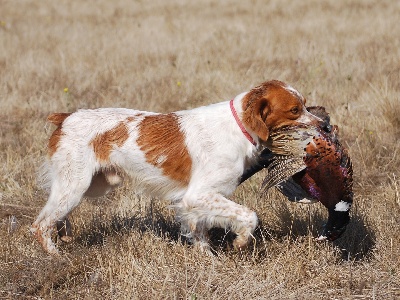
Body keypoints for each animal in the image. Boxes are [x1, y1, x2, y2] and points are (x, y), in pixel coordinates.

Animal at [30, 79, 322, 253]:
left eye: (306, 106)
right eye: (295, 110)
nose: (325, 126)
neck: (239, 126)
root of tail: (66, 117)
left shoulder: (194, 200)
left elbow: (200, 232)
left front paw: (208, 260)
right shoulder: (199, 194)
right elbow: (249, 215)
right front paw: (240, 241)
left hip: (89, 185)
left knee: (57, 219)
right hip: (74, 185)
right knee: (40, 224)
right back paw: (56, 255)